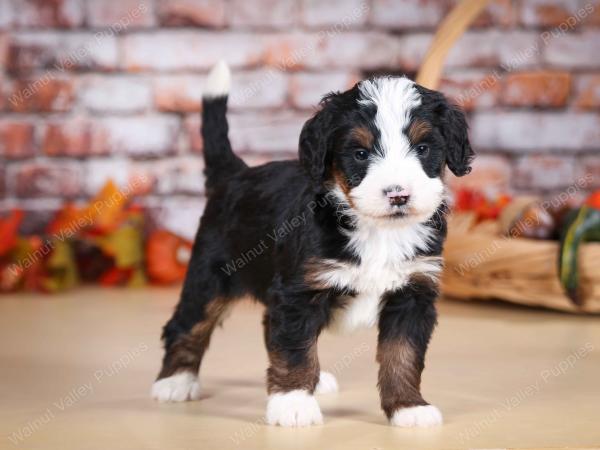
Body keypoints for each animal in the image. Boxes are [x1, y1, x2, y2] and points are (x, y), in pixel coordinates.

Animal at [152, 61, 476, 428]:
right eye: (360, 154)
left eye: (423, 148)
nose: (398, 194)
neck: (377, 231)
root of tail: (236, 174)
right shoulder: (299, 291)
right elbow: (295, 349)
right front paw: (293, 403)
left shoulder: (412, 292)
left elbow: (403, 354)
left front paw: (408, 407)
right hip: (210, 275)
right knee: (188, 323)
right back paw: (175, 381)